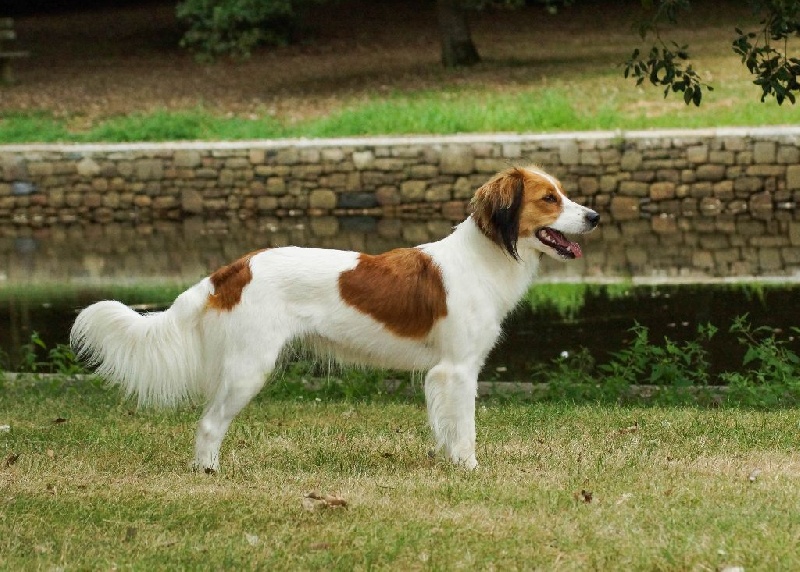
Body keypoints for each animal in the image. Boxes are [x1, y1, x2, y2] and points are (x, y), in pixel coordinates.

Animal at [71, 166, 599, 472]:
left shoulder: (442, 374)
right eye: (549, 198)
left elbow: (445, 427)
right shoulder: (458, 369)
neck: (483, 257)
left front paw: (449, 463)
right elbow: (464, 426)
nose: (594, 217)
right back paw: (208, 472)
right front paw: (469, 468)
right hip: (248, 368)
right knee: (208, 423)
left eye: (564, 194)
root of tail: (233, 269)